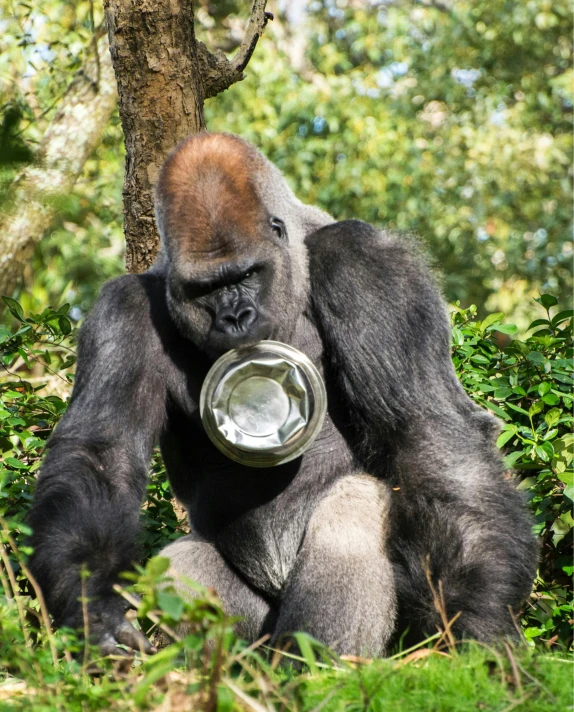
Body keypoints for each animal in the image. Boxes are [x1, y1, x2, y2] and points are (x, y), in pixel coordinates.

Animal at [27, 132, 540, 656]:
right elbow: (101, 454)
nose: (235, 317)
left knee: (356, 503)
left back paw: (317, 665)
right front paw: (91, 602)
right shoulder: (123, 310)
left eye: (247, 275)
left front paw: (478, 616)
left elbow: (427, 429)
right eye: (205, 290)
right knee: (179, 568)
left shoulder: (368, 262)